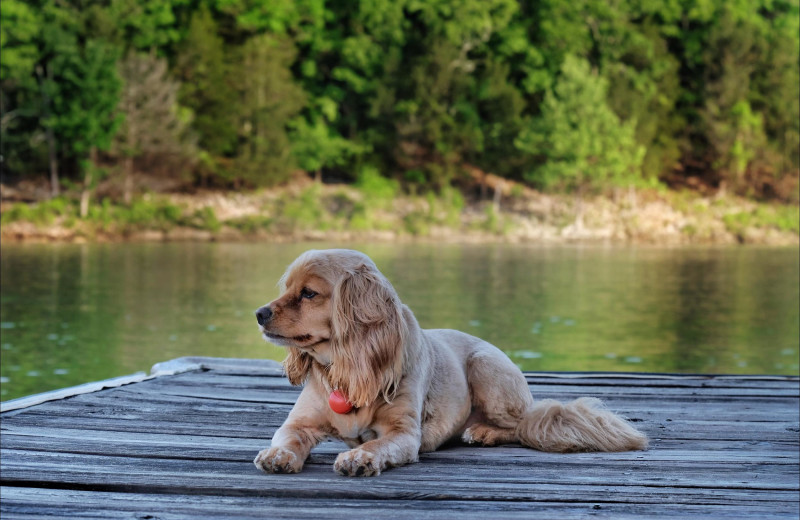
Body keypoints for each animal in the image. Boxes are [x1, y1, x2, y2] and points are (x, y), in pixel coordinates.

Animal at [253, 248, 648, 476]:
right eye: (286, 288)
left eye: (309, 293)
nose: (259, 313)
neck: (348, 367)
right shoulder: (299, 423)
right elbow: (288, 438)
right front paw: (278, 454)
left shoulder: (403, 434)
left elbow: (376, 444)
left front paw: (358, 457)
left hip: (486, 368)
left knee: (521, 425)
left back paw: (484, 432)